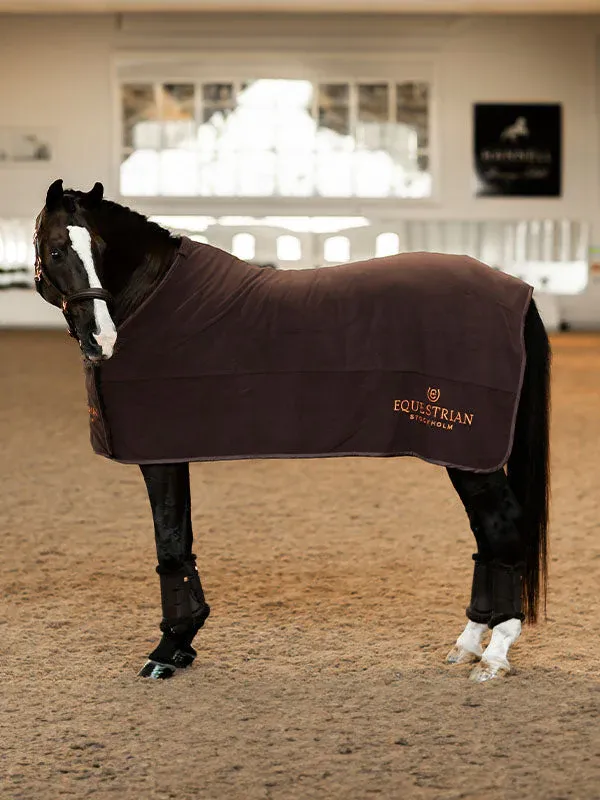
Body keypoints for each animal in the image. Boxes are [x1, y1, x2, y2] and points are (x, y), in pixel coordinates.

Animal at [33, 179, 550, 683]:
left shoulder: (160, 453)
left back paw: (495, 654)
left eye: (99, 247)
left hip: (468, 447)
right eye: (56, 250)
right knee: (486, 534)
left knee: (502, 525)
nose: (101, 339)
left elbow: (171, 543)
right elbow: (181, 542)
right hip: (461, 454)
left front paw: (169, 647)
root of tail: (519, 292)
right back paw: (468, 643)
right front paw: (184, 642)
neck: (155, 300)